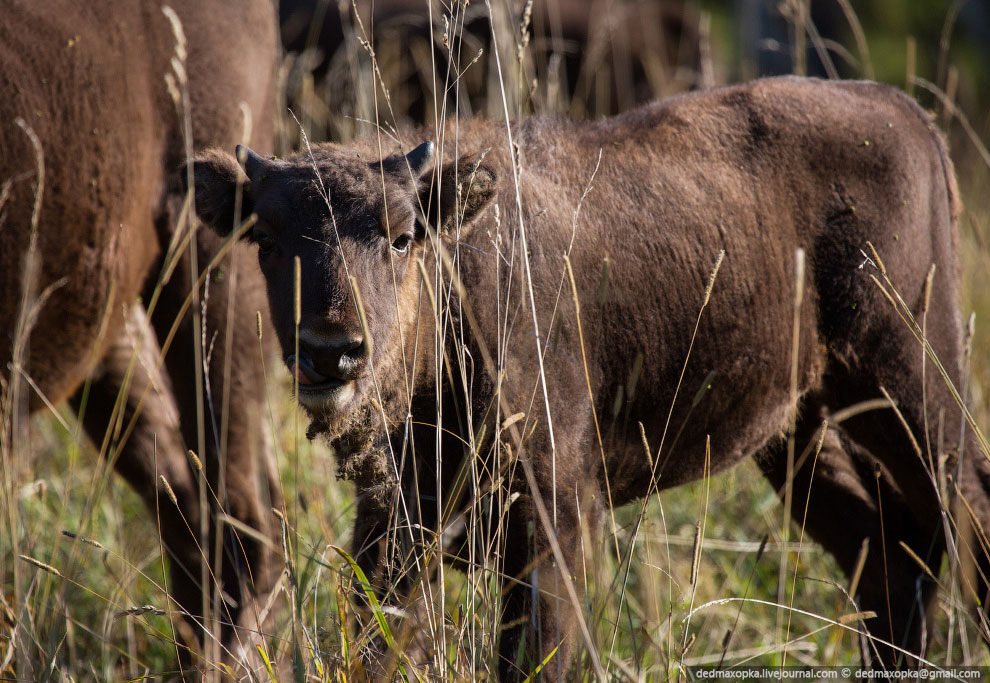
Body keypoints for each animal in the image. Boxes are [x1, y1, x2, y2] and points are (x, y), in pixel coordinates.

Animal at [194, 79, 990, 680]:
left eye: (400, 235)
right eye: (266, 238)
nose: (333, 351)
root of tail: (903, 111)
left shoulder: (557, 524)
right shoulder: (393, 527)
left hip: (912, 384)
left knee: (965, 512)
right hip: (799, 430)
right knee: (885, 556)